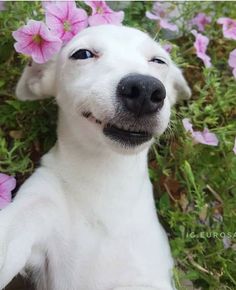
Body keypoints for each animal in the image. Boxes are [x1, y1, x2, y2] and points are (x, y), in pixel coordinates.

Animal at [0, 25, 191, 290]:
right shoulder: (35, 206)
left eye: (159, 61)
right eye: (82, 54)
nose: (144, 89)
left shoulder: (151, 276)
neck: (106, 177)